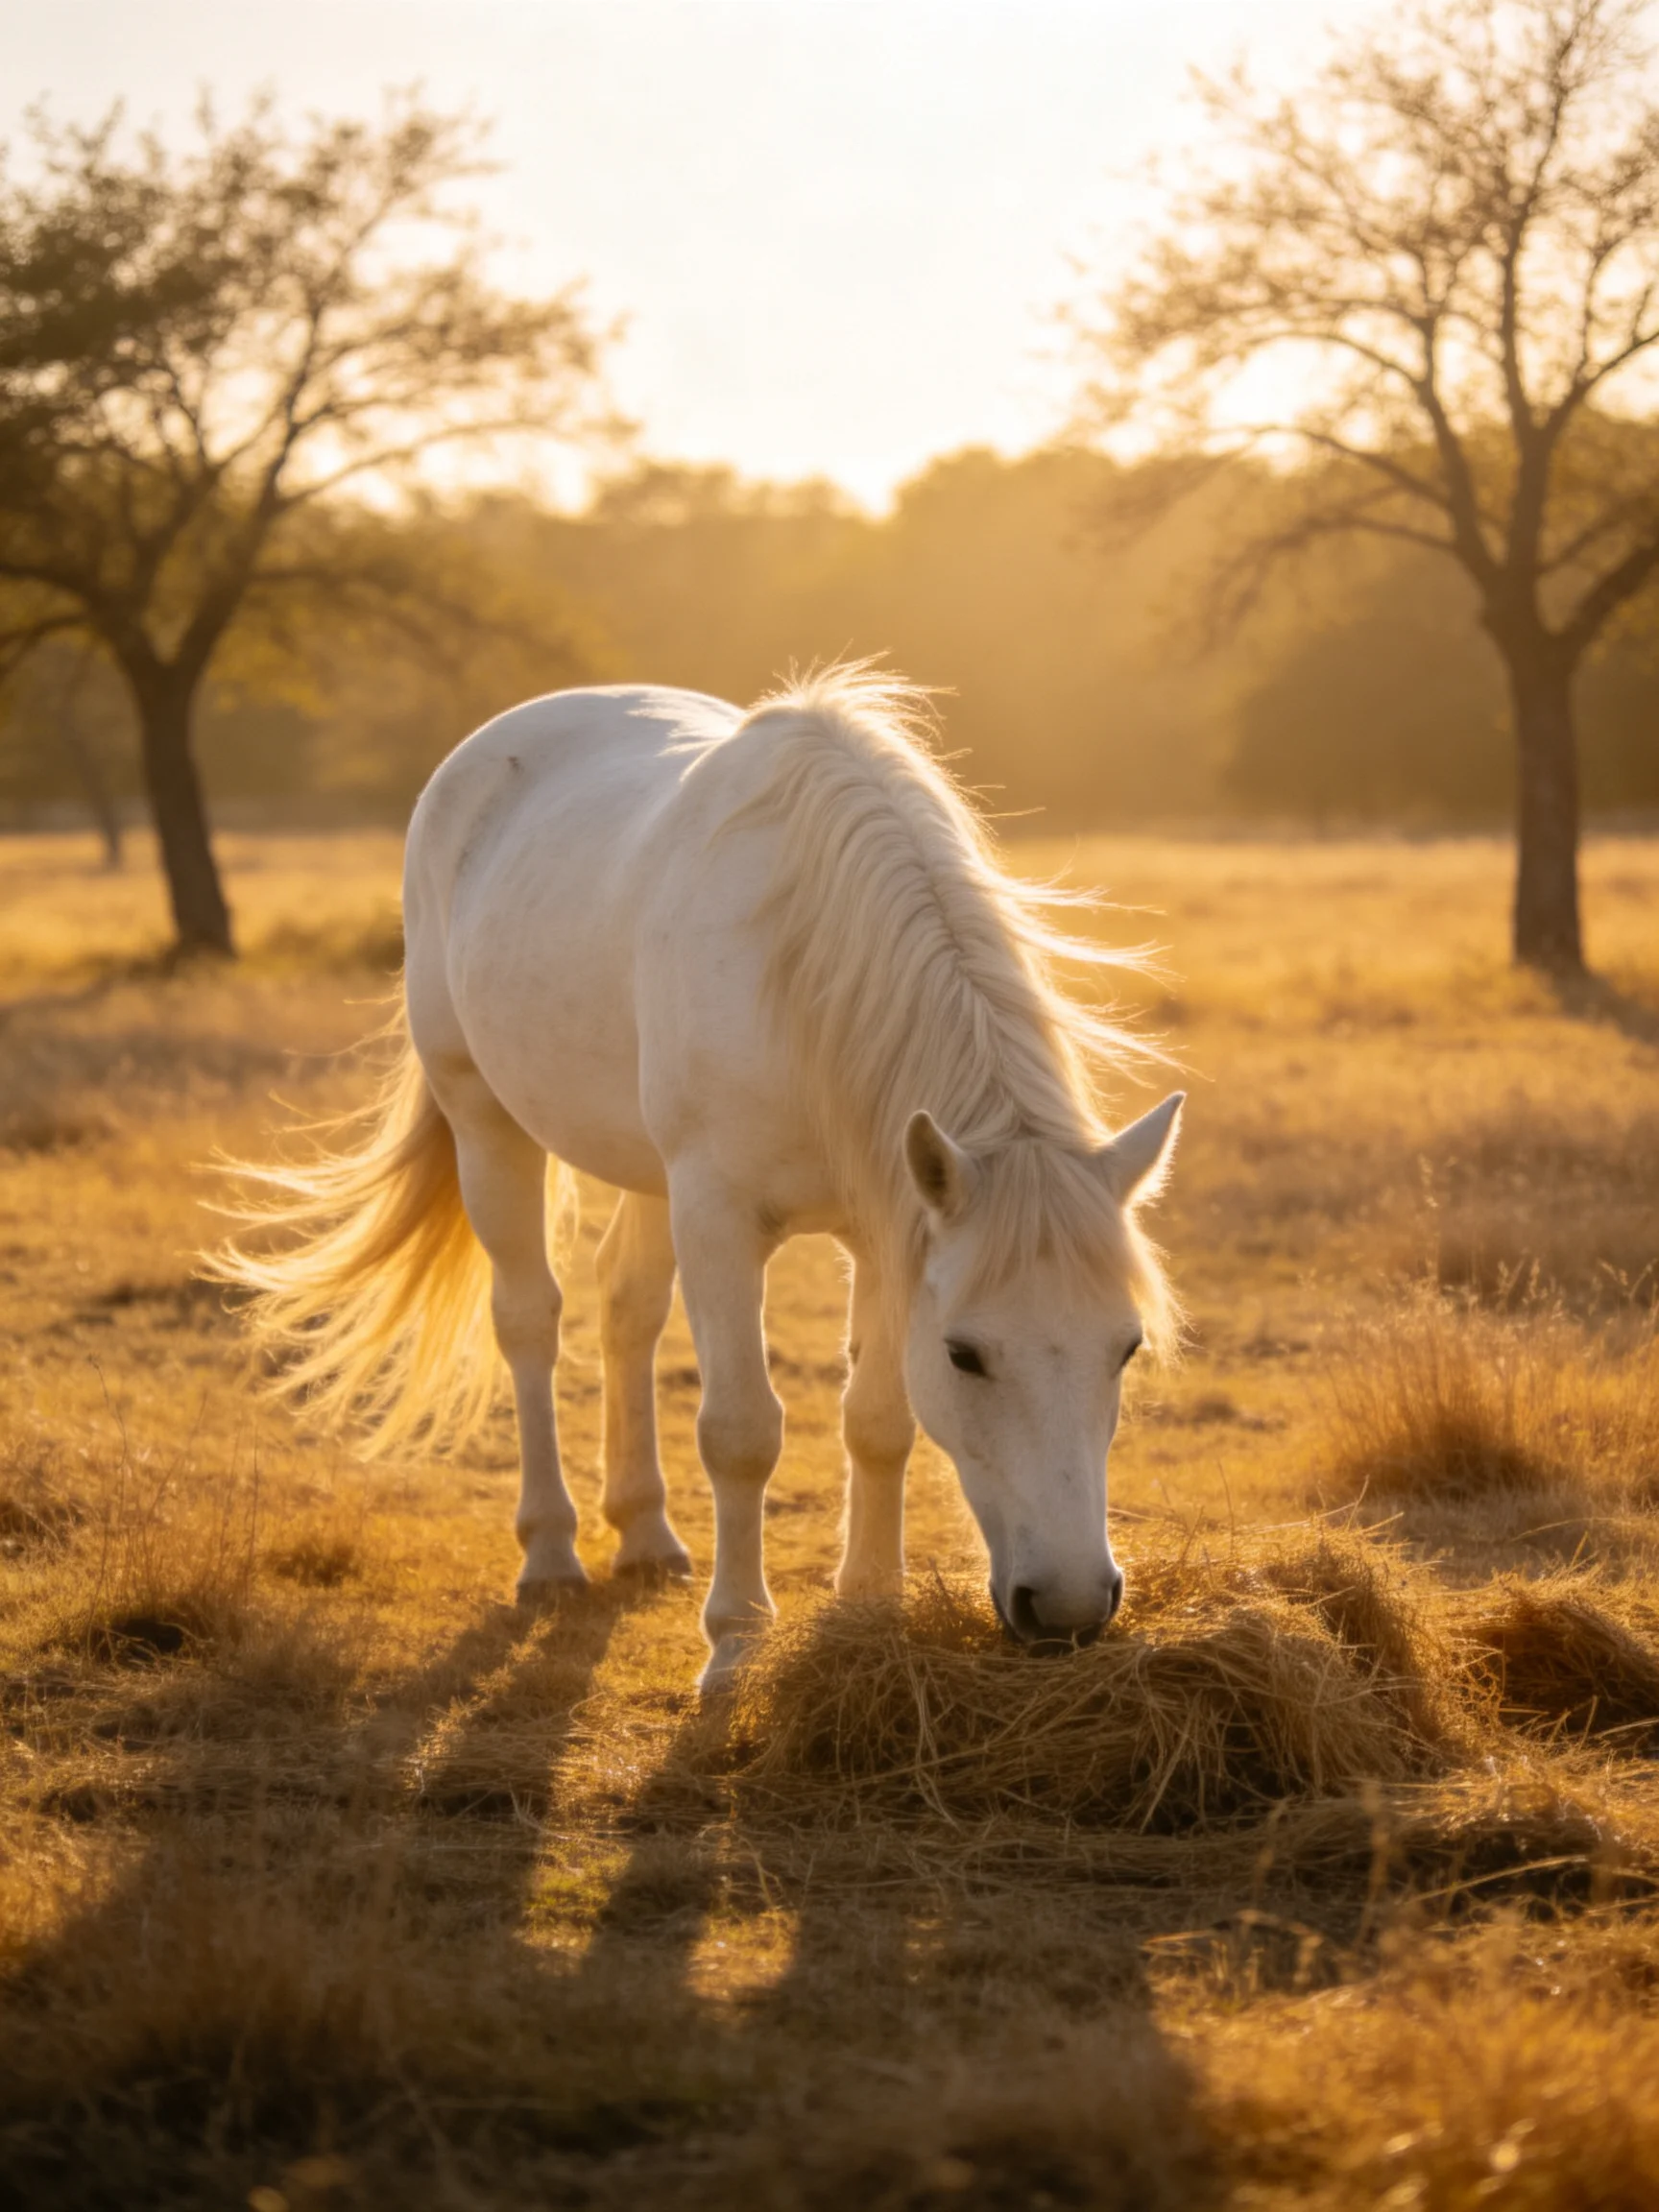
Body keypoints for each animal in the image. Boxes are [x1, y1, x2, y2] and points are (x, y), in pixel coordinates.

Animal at [217, 669, 1184, 1689]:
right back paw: (551, 1552)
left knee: (626, 1306)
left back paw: (644, 1534)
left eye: (1126, 1347)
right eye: (965, 1355)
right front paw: (736, 1641)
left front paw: (868, 1610)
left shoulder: (887, 1224)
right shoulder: (721, 1219)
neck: (805, 967)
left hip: (648, 1173)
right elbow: (742, 1431)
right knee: (528, 1319)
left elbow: (878, 1420)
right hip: (486, 1121)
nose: (1071, 1609)